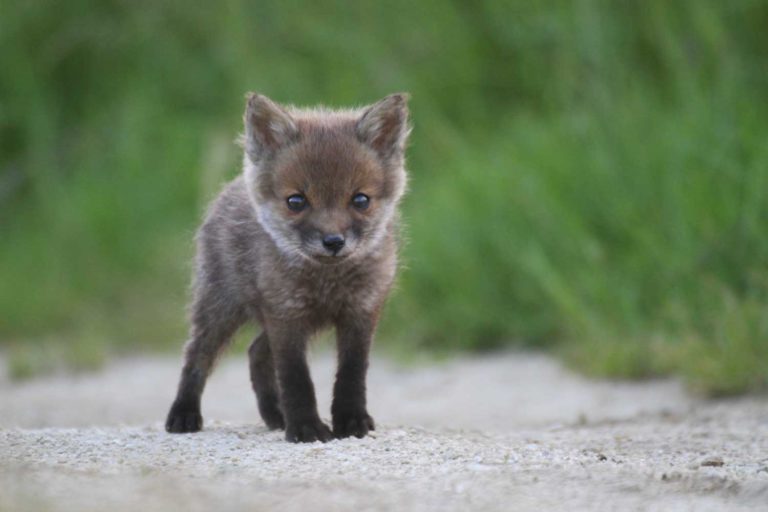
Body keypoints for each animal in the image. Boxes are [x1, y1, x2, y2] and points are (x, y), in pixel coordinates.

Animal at [165, 92, 410, 442]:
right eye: (297, 201)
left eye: (360, 200)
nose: (333, 241)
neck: (327, 280)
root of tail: (232, 185)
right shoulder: (287, 314)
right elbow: (296, 378)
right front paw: (306, 427)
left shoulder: (361, 312)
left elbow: (352, 374)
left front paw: (351, 420)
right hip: (220, 309)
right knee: (197, 355)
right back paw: (184, 413)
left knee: (255, 353)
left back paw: (275, 415)